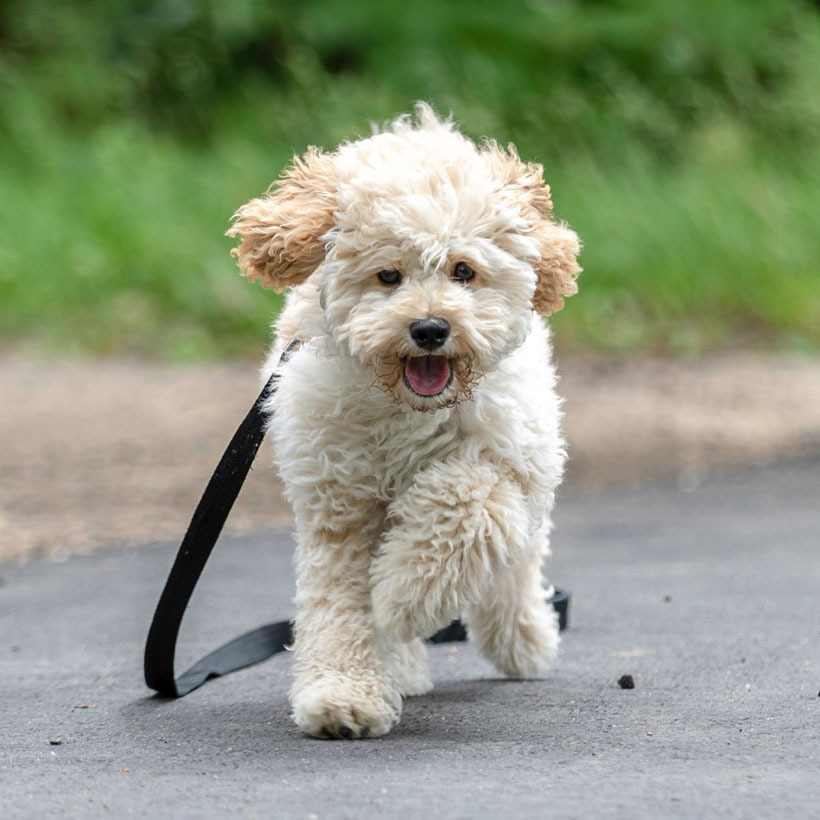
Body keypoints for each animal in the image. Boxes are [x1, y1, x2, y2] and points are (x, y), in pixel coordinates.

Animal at [227, 102, 580, 736]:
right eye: (387, 275)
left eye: (463, 270)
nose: (430, 329)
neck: (408, 411)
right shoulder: (338, 504)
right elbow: (338, 604)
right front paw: (342, 693)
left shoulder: (511, 462)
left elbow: (470, 503)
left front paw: (403, 598)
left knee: (515, 564)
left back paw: (523, 640)